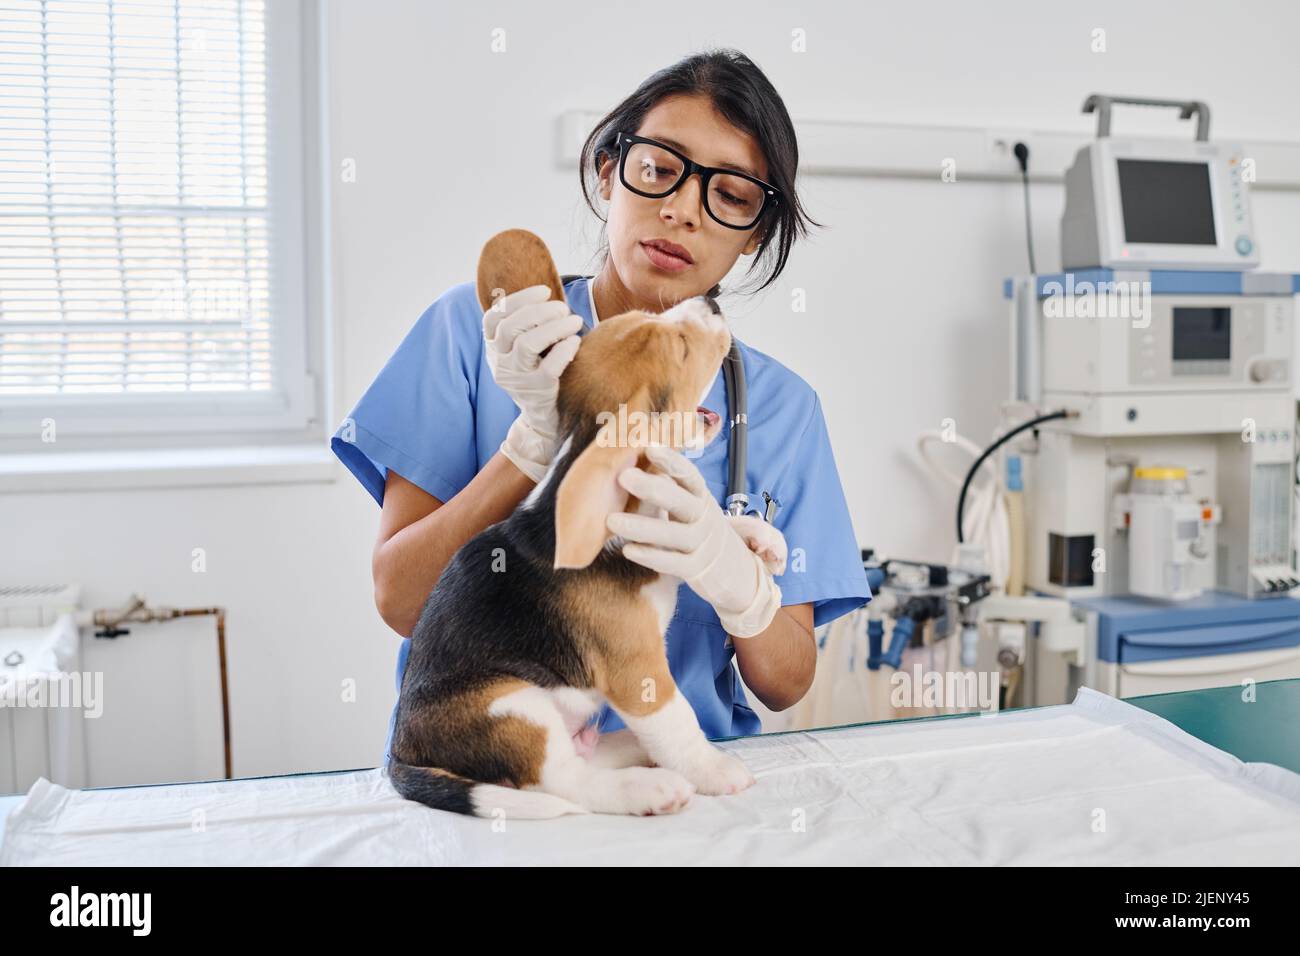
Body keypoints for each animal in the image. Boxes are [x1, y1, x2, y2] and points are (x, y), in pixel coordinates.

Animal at [384, 230, 769, 816]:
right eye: (680, 348)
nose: (710, 302)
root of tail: (400, 755)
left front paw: (755, 542)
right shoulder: (637, 669)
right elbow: (675, 718)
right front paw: (714, 770)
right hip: (511, 704)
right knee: (562, 779)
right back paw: (646, 787)